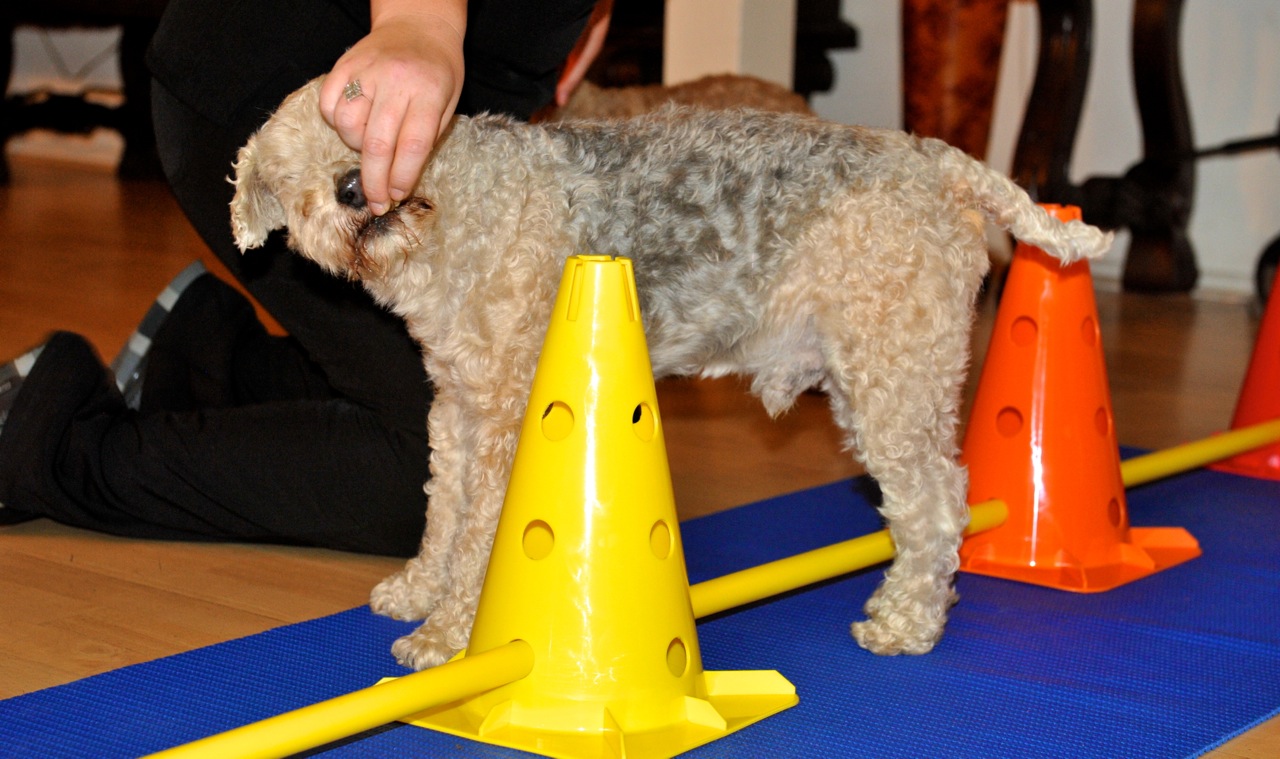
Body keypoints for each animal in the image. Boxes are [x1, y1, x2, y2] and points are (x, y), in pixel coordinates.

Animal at [230, 78, 1111, 670]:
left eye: (361, 118)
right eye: (285, 180)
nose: (350, 188)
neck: (457, 213)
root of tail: (939, 161)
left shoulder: (506, 417)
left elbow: (479, 538)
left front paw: (447, 634)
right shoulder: (458, 409)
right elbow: (444, 516)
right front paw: (418, 590)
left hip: (893, 377)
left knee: (936, 508)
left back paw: (906, 623)